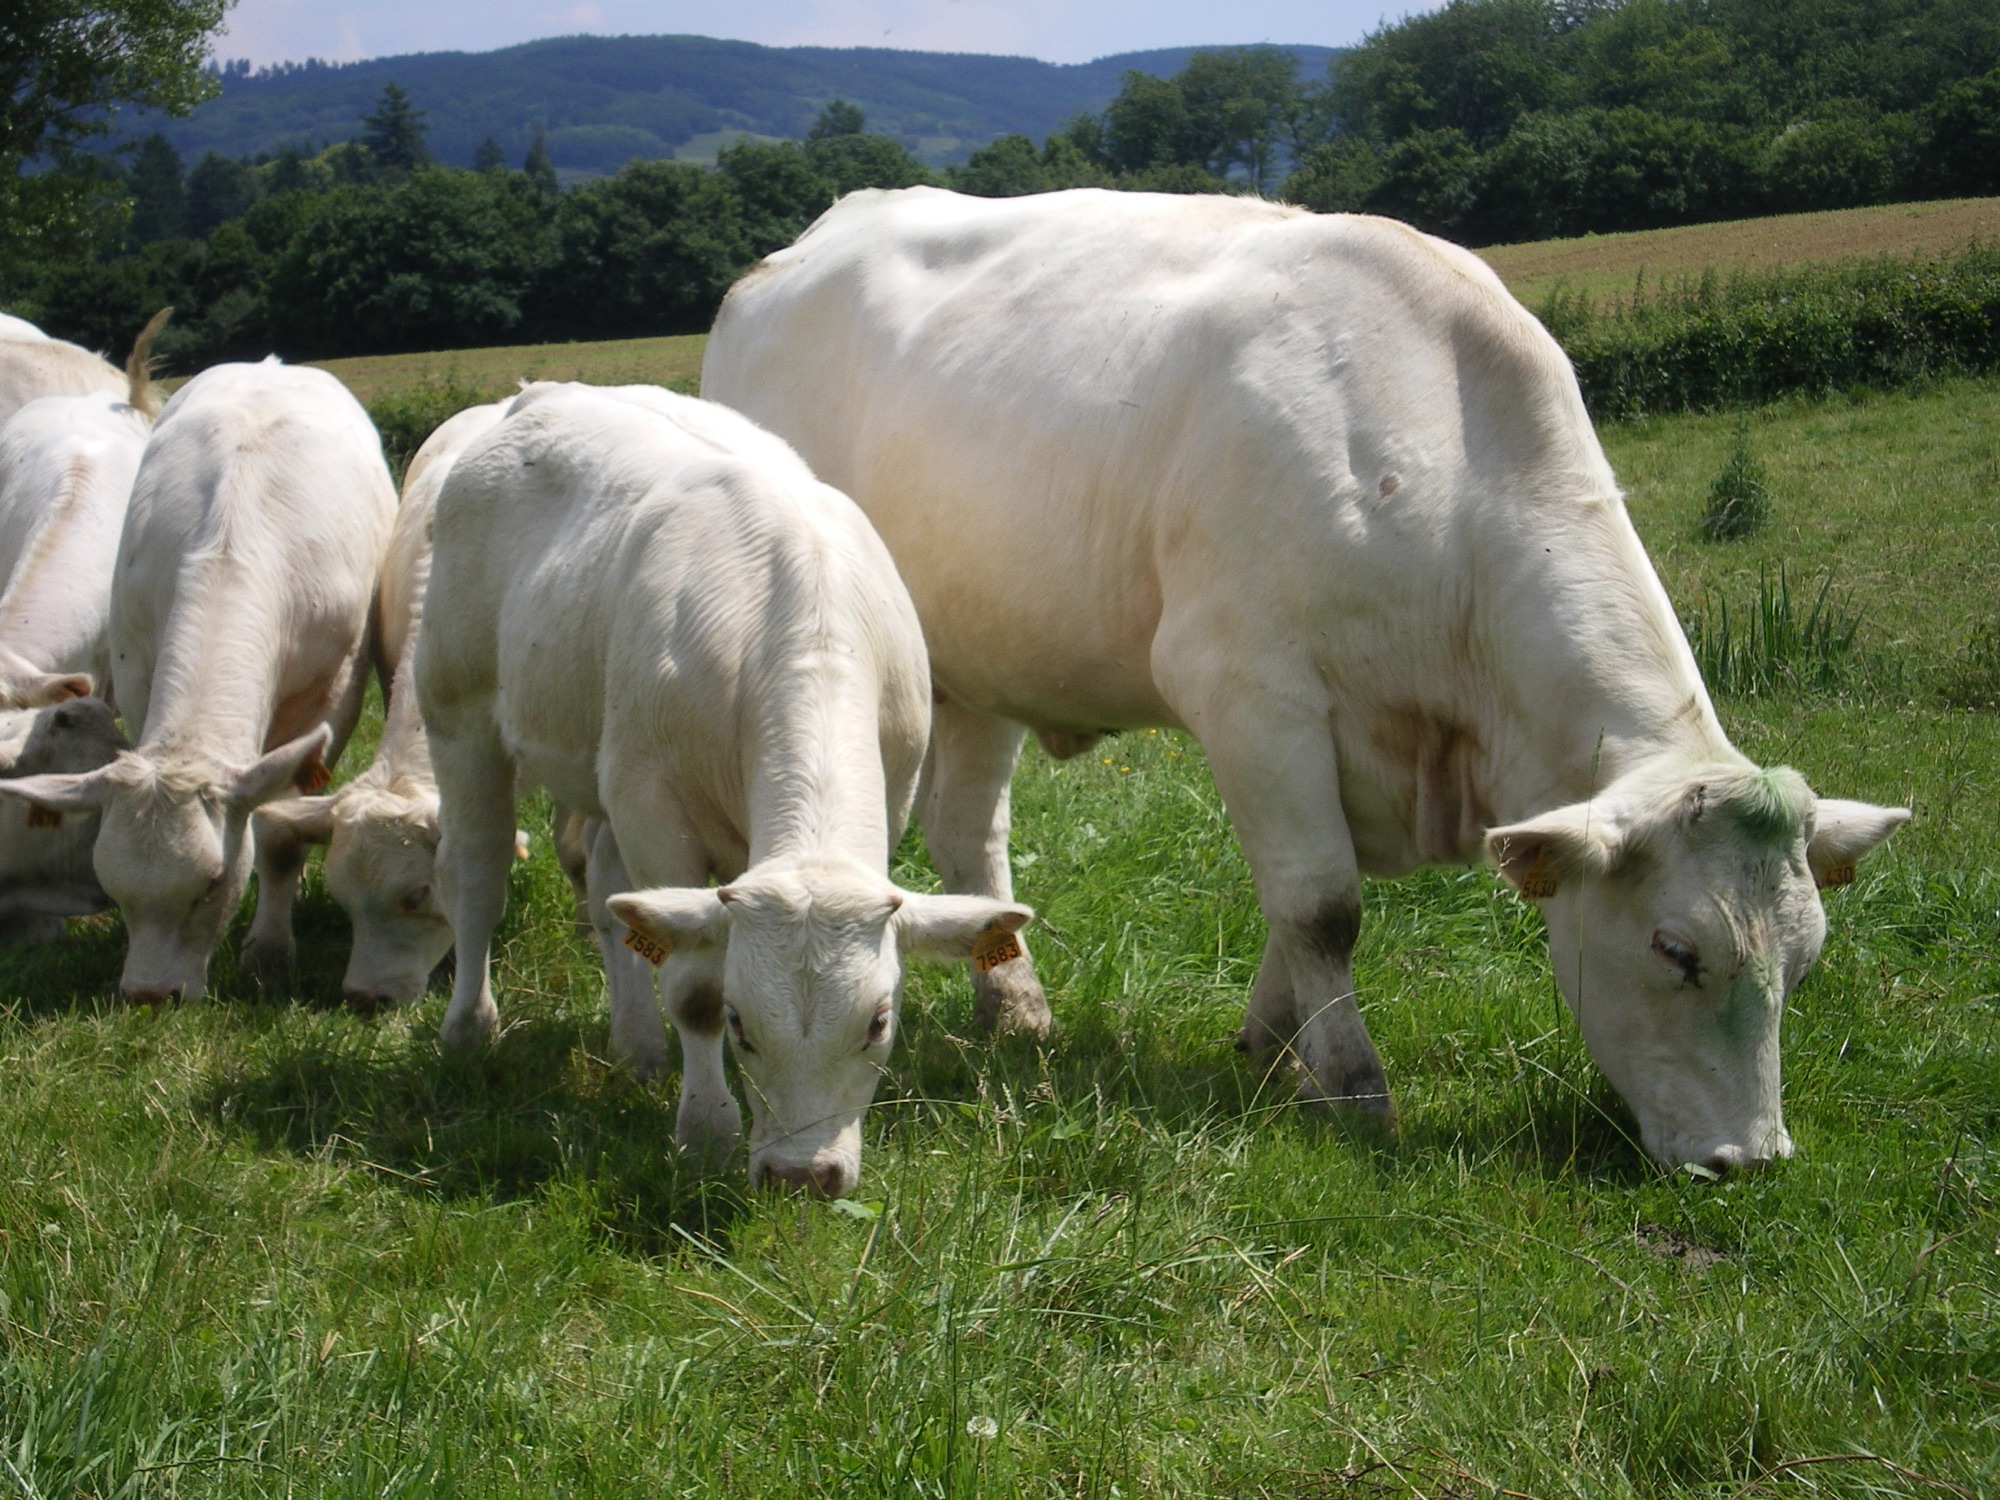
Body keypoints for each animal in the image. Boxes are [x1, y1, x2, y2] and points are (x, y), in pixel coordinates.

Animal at [0, 359, 397, 1000]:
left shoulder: (333, 700)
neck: (232, 554)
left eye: (211, 884)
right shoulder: (135, 676)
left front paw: (268, 952)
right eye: (114, 889)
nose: (149, 995)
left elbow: (278, 833)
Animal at [417, 382, 1028, 1194]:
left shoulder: (887, 794)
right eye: (741, 1023)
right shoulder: (654, 805)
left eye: (879, 1022)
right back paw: (469, 1028)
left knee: (610, 891)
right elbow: (693, 988)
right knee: (477, 873)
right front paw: (706, 1131)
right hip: (458, 710)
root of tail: (540, 394)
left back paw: (638, 1046)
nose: (802, 1175)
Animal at [701, 187, 1909, 1173]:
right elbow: (1321, 905)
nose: (1748, 1160)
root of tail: (802, 244)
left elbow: (1295, 912)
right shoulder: (1248, 690)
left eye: (1807, 959)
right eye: (1677, 950)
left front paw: (1268, 1046)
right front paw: (1354, 1088)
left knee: (968, 832)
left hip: (985, 657)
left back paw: (1016, 1009)